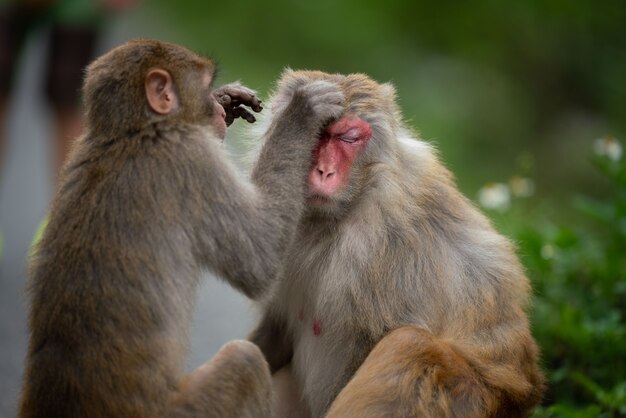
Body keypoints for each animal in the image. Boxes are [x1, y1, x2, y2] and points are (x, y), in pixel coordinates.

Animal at [17, 40, 344, 418]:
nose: (215, 108)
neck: (129, 134)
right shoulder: (190, 159)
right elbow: (259, 258)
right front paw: (302, 111)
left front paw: (228, 100)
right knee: (243, 361)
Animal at [249, 69, 540, 418]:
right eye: (316, 134)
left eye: (348, 138)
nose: (323, 171)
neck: (342, 213)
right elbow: (274, 330)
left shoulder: (388, 245)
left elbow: (373, 341)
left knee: (409, 345)